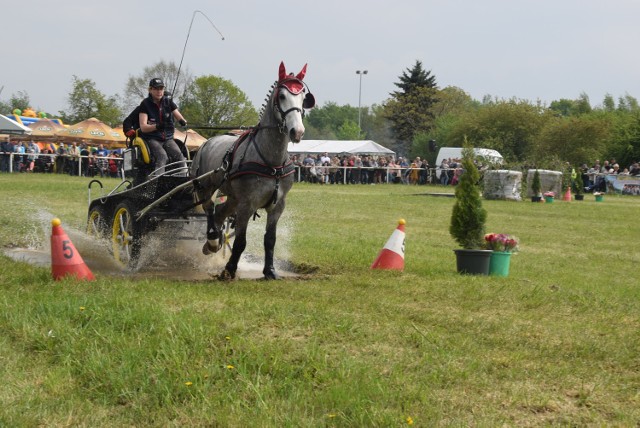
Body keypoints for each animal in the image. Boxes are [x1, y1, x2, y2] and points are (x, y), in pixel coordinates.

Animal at [189, 61, 314, 280]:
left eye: (302, 97)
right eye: (282, 96)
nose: (297, 132)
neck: (272, 162)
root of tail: (205, 142)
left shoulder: (277, 205)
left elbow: (270, 239)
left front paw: (270, 270)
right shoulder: (247, 204)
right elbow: (241, 241)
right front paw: (229, 270)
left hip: (233, 197)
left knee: (220, 212)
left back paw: (214, 242)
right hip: (206, 187)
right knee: (209, 209)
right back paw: (212, 240)